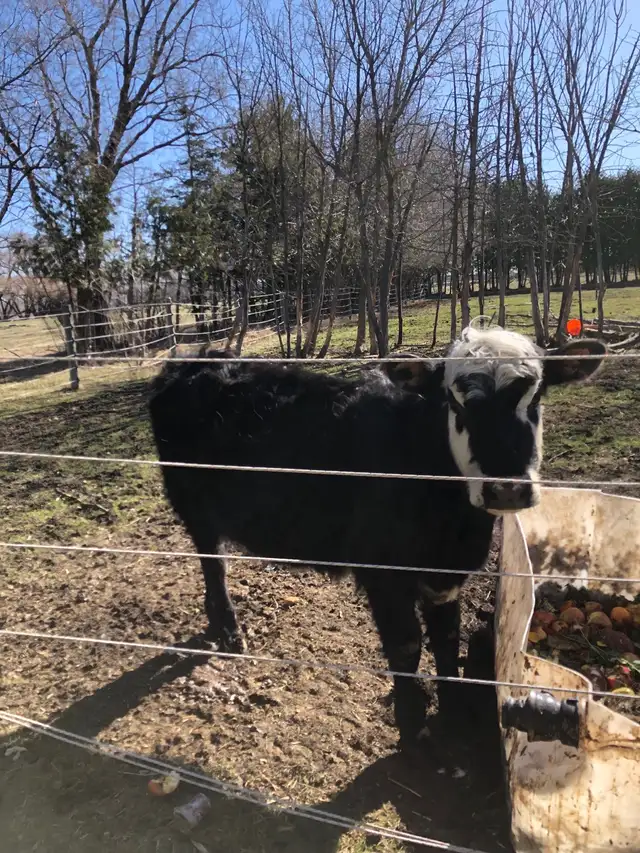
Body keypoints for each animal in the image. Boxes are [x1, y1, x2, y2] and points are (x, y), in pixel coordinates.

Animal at [148, 323, 606, 747]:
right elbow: (406, 645)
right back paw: (228, 628)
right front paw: (411, 721)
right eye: (454, 403)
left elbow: (446, 638)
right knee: (213, 564)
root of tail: (192, 359)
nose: (507, 488)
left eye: (537, 398)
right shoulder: (383, 574)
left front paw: (453, 709)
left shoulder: (446, 577)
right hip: (192, 505)